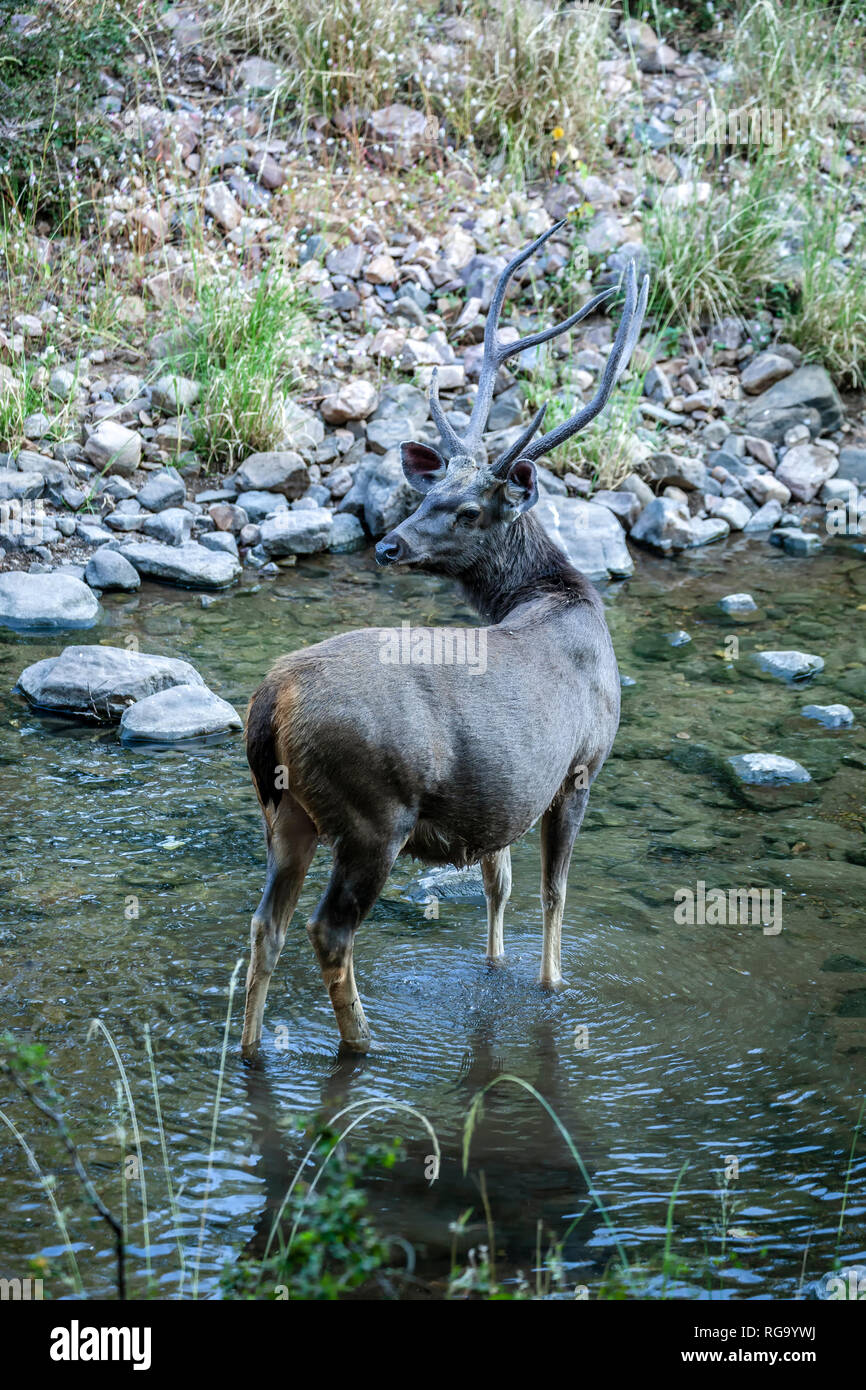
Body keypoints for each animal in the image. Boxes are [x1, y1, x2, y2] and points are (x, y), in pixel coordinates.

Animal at [240, 222, 647, 1050]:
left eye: (465, 508)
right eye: (429, 492)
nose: (390, 544)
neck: (563, 598)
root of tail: (272, 702)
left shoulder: (505, 793)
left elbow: (500, 883)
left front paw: (494, 967)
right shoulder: (580, 766)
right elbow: (555, 893)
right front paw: (552, 985)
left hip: (283, 810)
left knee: (266, 925)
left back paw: (253, 1046)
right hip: (373, 814)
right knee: (329, 931)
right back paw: (362, 1043)